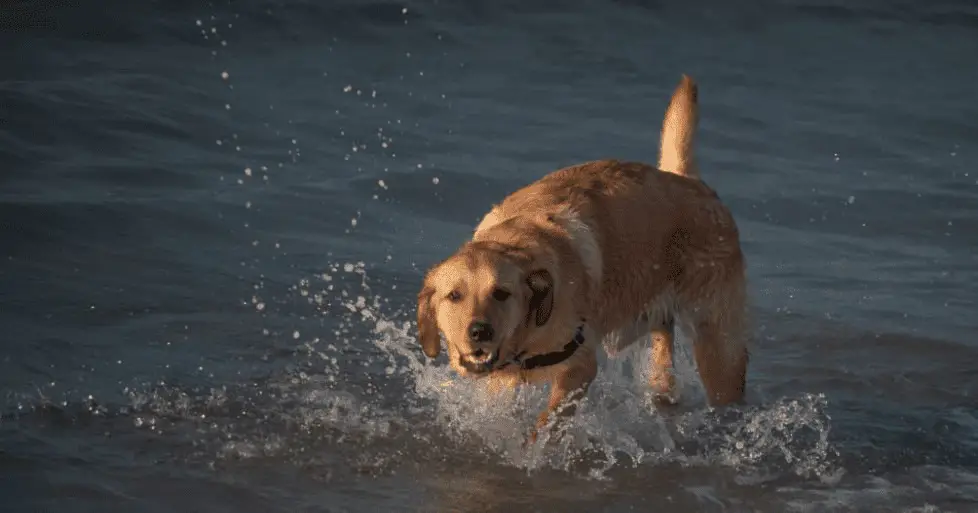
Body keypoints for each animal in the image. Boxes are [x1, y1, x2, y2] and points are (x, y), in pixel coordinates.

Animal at [414, 74, 748, 442]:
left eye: (501, 293)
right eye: (454, 296)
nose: (479, 331)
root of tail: (691, 183)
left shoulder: (580, 368)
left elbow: (544, 427)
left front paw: (531, 448)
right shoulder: (499, 382)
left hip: (718, 348)